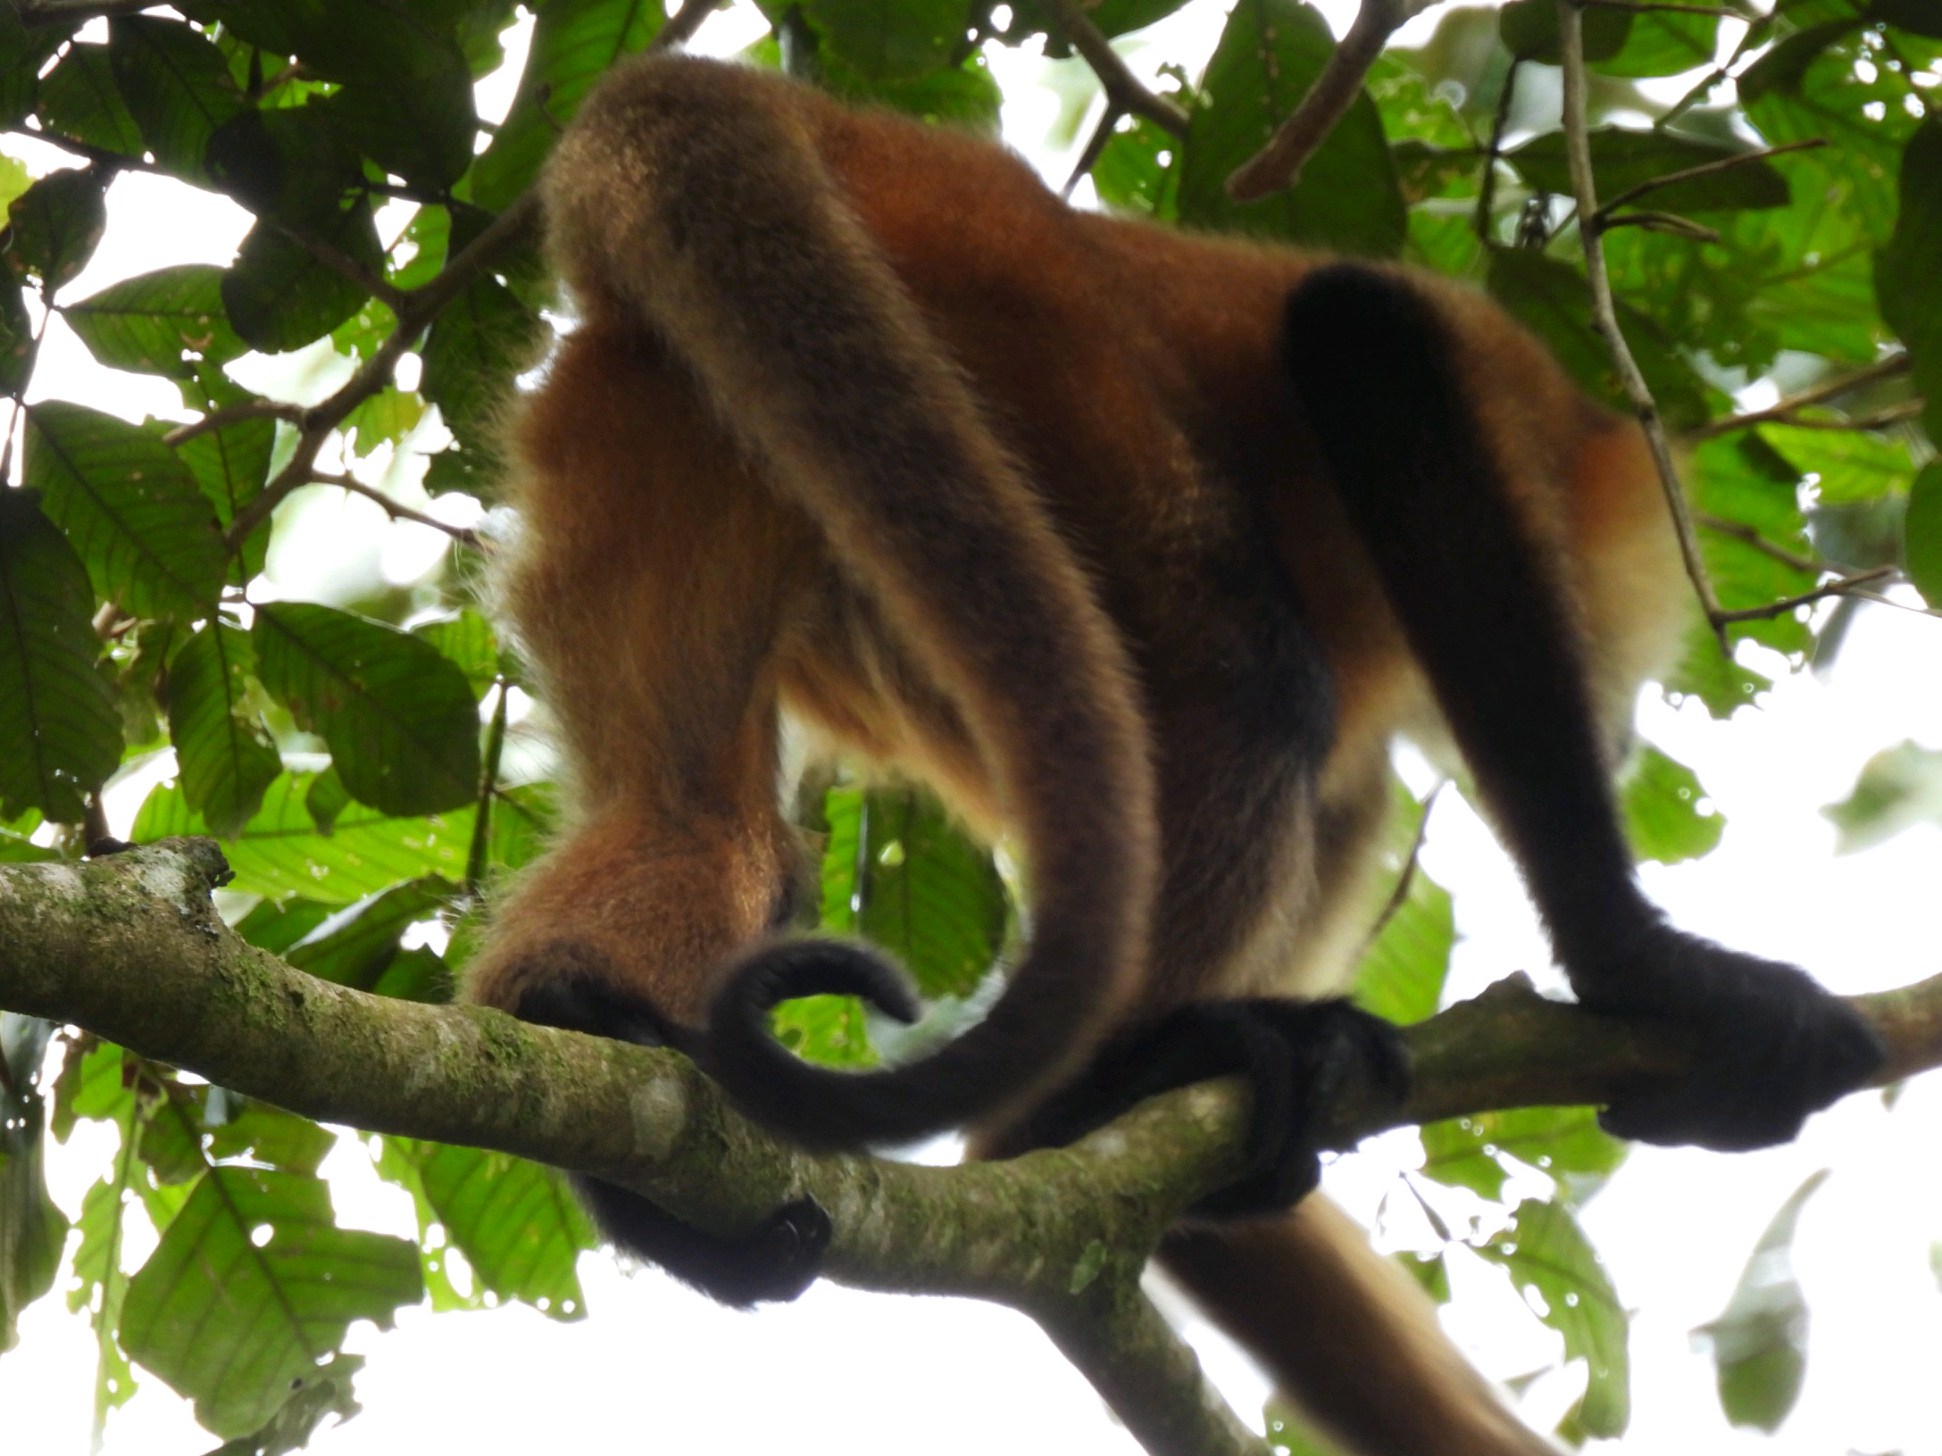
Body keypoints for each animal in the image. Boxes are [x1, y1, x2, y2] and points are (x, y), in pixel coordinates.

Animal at [462, 52, 1884, 1455]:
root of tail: (833, 121)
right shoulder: (1555, 440)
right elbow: (1366, 338)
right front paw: (1649, 972)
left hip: (655, 407)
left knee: (701, 813)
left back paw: (583, 1035)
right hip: (1021, 331)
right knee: (1246, 671)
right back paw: (1076, 1097)